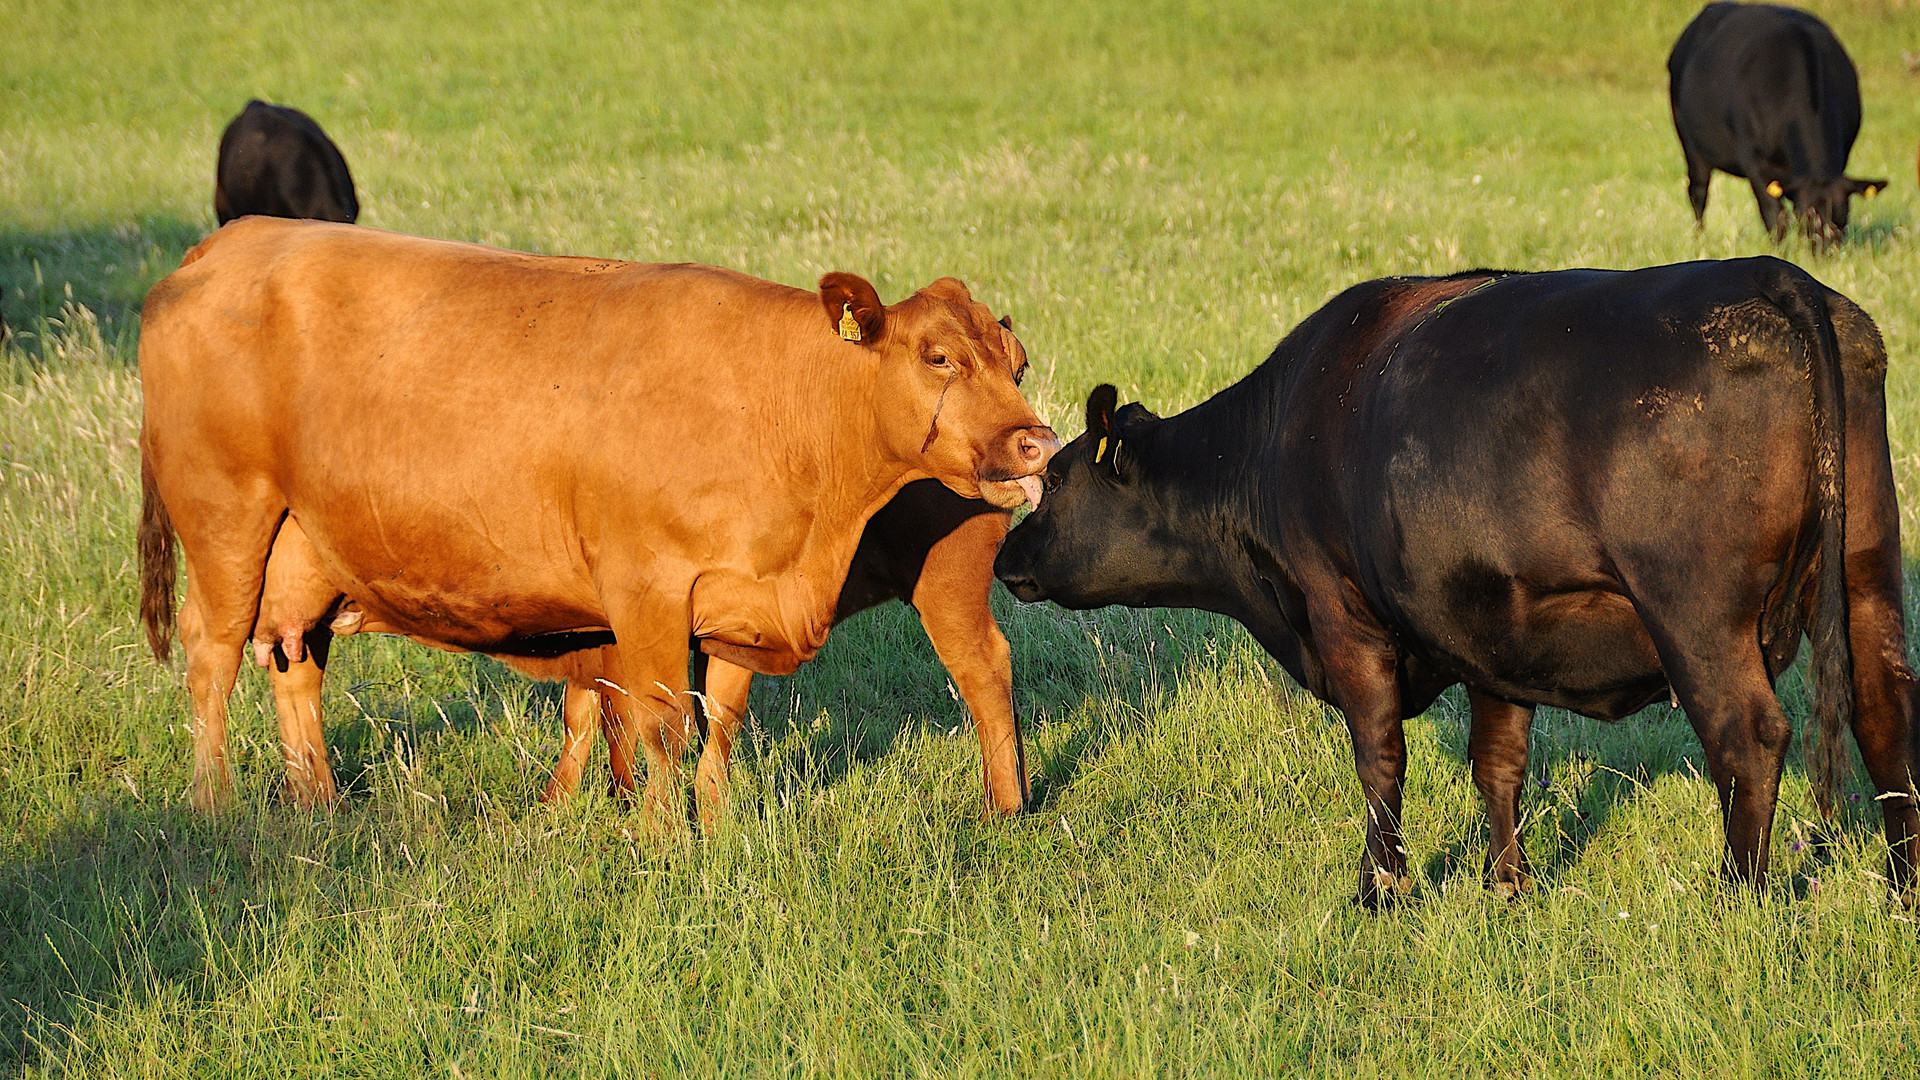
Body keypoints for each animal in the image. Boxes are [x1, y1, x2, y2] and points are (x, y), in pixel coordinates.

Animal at [140, 216, 1059, 822]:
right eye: (938, 356)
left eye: (1016, 363)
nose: (1039, 442)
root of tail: (234, 239)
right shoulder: (646, 591)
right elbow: (658, 723)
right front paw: (662, 841)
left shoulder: (738, 602)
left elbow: (719, 723)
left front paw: (717, 831)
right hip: (228, 522)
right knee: (213, 652)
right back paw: (217, 805)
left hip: (304, 549)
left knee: (295, 660)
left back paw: (319, 802)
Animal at [998, 255, 1920, 903]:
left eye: (1058, 478)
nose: (1005, 559)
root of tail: (1770, 275)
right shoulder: (1493, 631)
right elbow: (1496, 762)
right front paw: (1506, 887)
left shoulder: (1344, 616)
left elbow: (1380, 759)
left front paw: (1379, 890)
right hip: (1867, 575)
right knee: (1885, 714)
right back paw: (1902, 892)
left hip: (1695, 613)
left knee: (1748, 737)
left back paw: (1736, 899)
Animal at [1666, 3, 1889, 242]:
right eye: (1806, 217)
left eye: (1842, 218)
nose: (1822, 249)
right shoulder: (1753, 160)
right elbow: (1775, 216)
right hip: (1690, 143)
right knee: (1698, 193)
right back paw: (1699, 238)